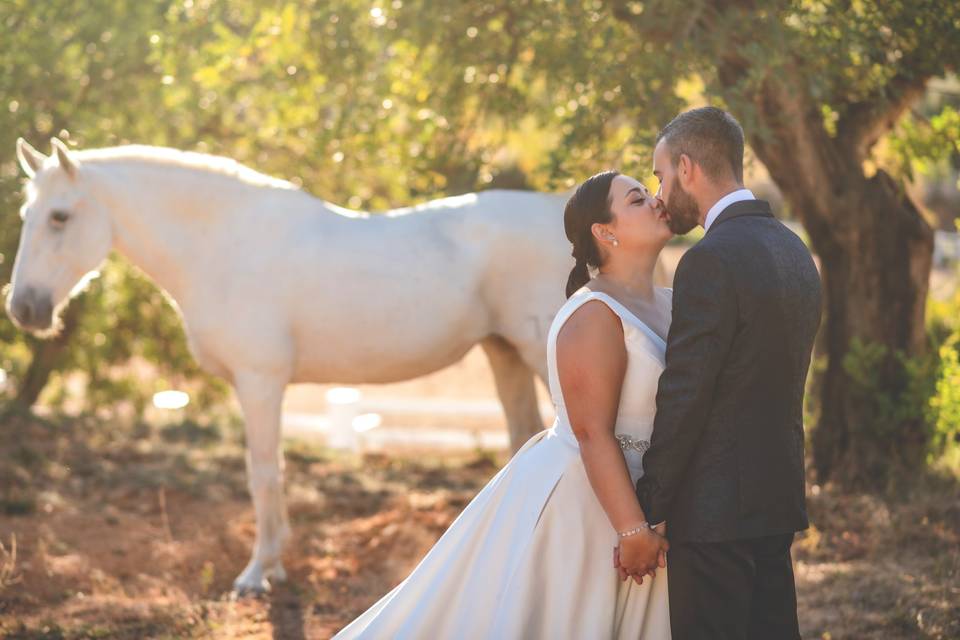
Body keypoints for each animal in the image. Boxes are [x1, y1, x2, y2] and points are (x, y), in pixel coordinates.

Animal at [7, 138, 576, 592]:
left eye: (60, 216)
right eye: (25, 217)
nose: (23, 309)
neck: (224, 246)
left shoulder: (260, 382)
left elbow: (262, 473)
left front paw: (257, 573)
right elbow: (272, 468)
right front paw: (276, 564)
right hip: (504, 353)